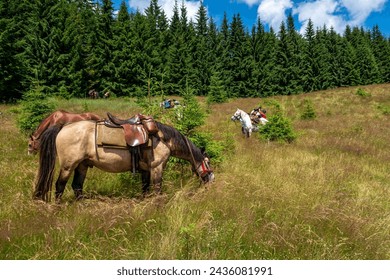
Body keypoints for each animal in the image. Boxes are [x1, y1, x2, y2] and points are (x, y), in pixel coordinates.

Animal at [33, 120, 215, 201]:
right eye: (207, 162)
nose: (212, 179)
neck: (163, 139)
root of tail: (63, 127)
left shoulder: (145, 170)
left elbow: (145, 188)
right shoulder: (157, 168)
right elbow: (157, 189)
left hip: (82, 165)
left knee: (77, 186)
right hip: (68, 165)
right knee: (60, 185)